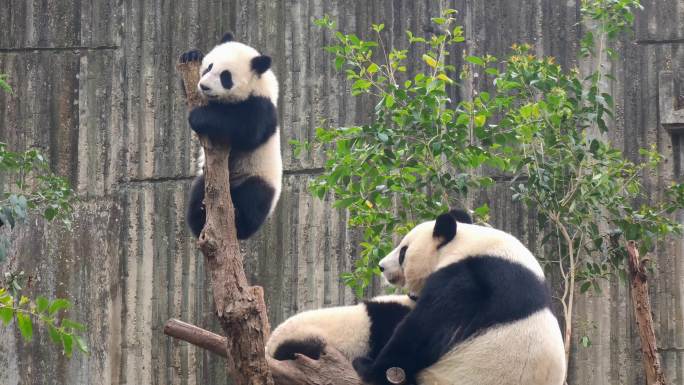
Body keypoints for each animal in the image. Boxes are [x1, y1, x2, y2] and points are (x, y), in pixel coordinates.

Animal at [180, 33, 282, 238]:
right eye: (209, 67)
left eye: (225, 77)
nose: (204, 86)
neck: (258, 84)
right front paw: (192, 54)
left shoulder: (262, 106)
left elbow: (246, 129)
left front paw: (198, 117)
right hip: (206, 179)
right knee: (198, 191)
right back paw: (199, 217)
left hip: (259, 173)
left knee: (255, 198)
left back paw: (241, 221)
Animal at [352, 210, 568, 384]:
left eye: (403, 251)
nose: (381, 266)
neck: (465, 243)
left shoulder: (469, 277)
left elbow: (428, 327)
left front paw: (369, 367)